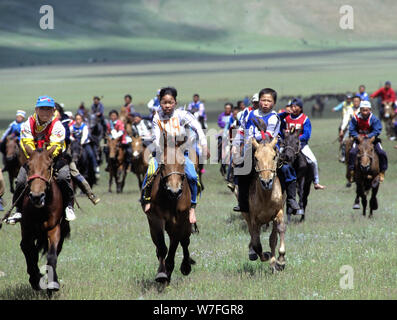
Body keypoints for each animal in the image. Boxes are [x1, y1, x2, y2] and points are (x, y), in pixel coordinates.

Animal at [19, 146, 70, 294]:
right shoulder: (27, 229)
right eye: (29, 166)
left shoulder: (54, 229)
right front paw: (35, 279)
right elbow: (28, 250)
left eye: (48, 166)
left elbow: (52, 255)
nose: (36, 196)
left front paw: (52, 284)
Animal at [145, 136, 195, 284]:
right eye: (163, 164)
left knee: (185, 242)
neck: (171, 200)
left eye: (183, 163)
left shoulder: (179, 222)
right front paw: (162, 274)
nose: (174, 191)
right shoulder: (156, 220)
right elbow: (162, 248)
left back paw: (185, 266)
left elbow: (174, 246)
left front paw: (171, 268)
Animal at [243, 138, 286, 272]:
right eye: (256, 158)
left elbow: (279, 231)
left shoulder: (279, 212)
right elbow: (257, 243)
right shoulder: (254, 219)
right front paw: (265, 255)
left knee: (273, 238)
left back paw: (274, 263)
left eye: (273, 156)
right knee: (253, 236)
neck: (266, 196)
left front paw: (280, 260)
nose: (266, 182)